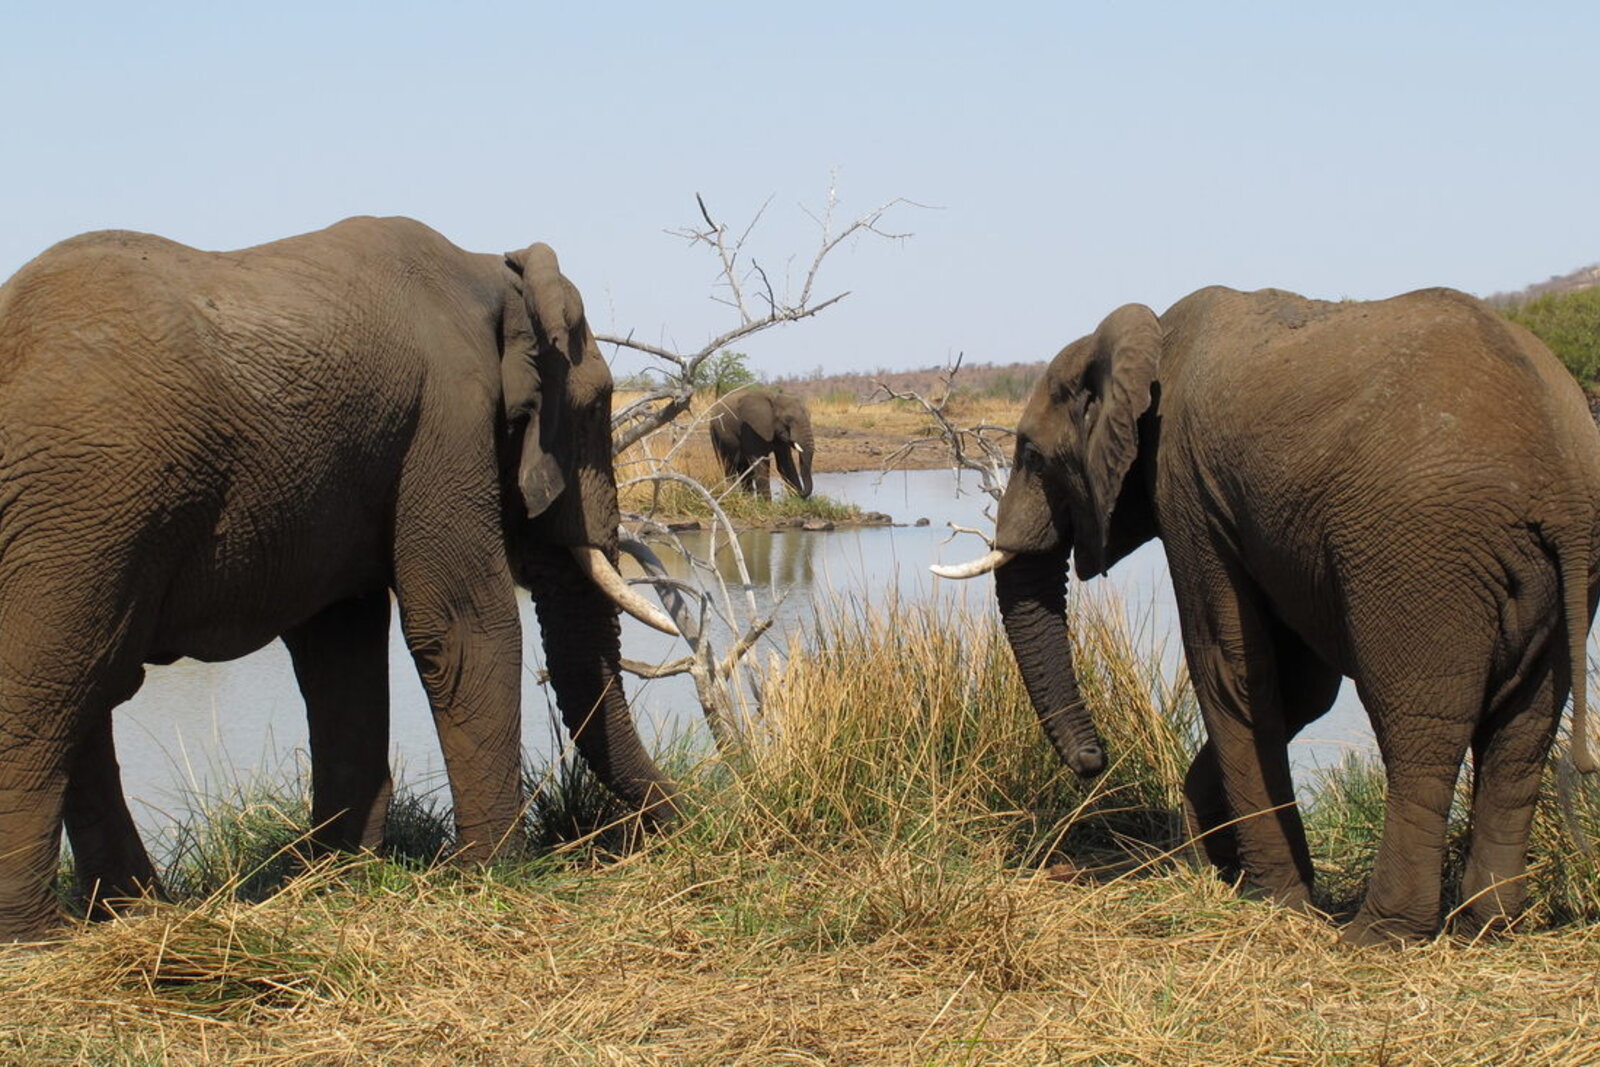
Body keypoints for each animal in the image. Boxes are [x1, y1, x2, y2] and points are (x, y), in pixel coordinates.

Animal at [0, 216, 682, 943]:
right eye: (596, 407)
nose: (683, 824)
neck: (491, 273)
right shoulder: (445, 418)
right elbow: (462, 627)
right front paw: (498, 878)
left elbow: (341, 648)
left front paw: (337, 878)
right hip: (84, 506)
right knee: (50, 685)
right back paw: (37, 937)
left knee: (87, 689)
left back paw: (134, 912)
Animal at [934, 285, 1600, 944]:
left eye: (1031, 454)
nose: (1092, 763)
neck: (1146, 341)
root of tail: (1561, 482)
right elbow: (1299, 688)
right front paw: (1207, 866)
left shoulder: (1185, 485)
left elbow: (1229, 668)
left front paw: (1273, 899)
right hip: (1561, 576)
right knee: (1522, 735)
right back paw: (1487, 926)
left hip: (1422, 557)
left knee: (1419, 729)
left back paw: (1378, 935)